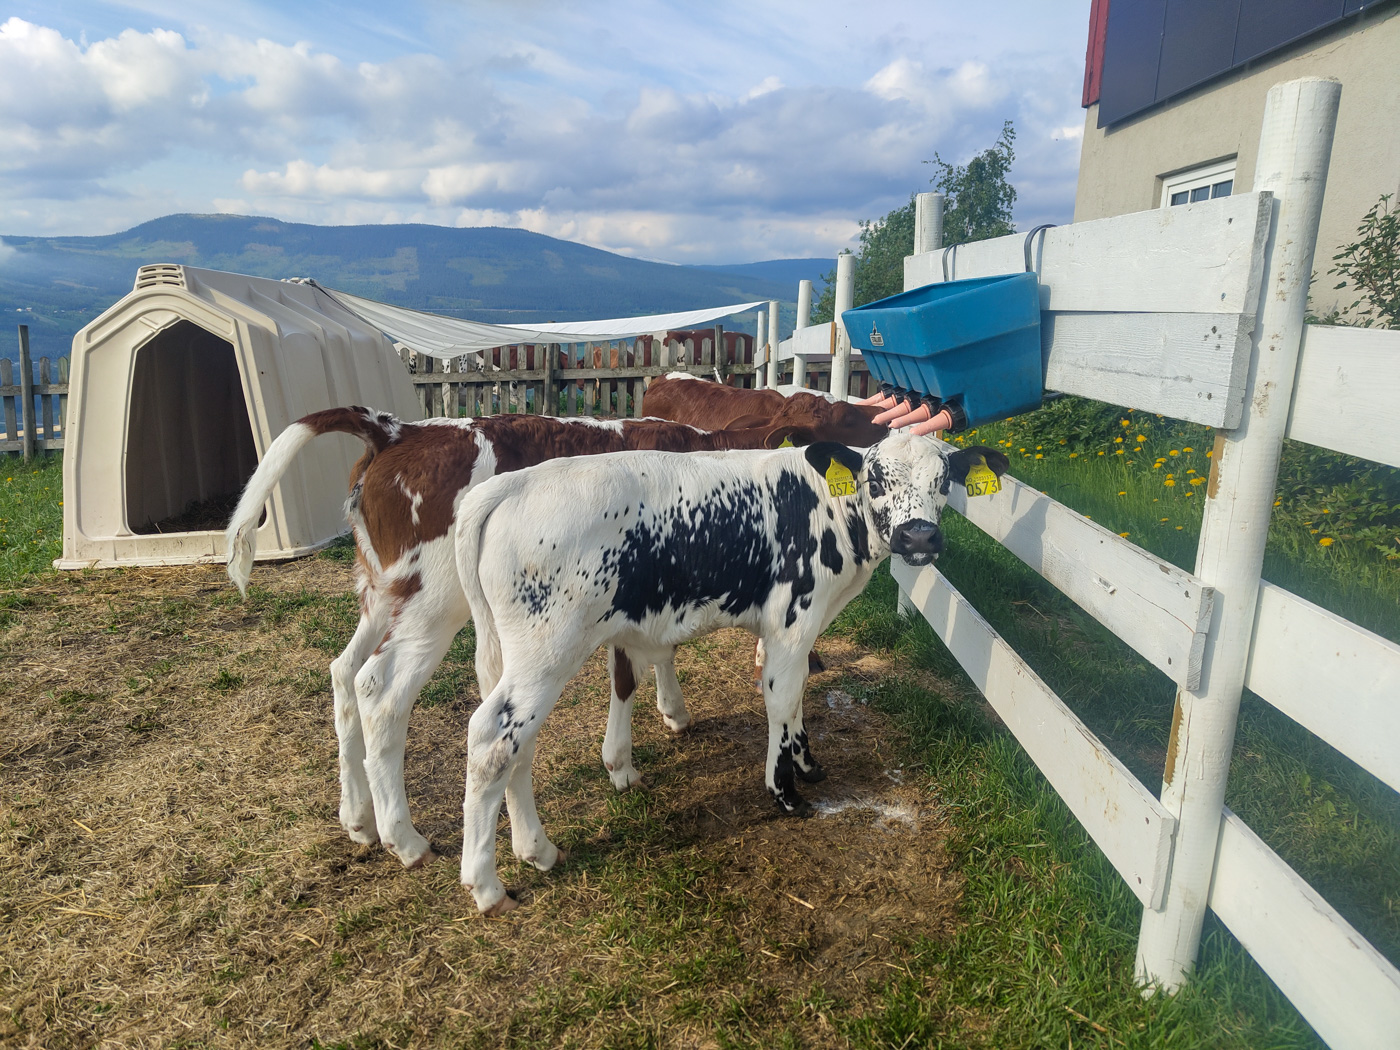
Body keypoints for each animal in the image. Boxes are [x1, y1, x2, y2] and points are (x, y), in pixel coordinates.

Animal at [450, 428, 1008, 912]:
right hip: (547, 650)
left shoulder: (803, 627)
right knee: (491, 741)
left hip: (520, 656)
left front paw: (807, 763)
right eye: (874, 480)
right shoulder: (792, 618)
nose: (919, 537)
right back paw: (488, 886)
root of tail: (510, 484)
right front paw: (785, 792)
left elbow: (798, 694)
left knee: (519, 745)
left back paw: (537, 850)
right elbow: (781, 698)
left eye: (945, 481)